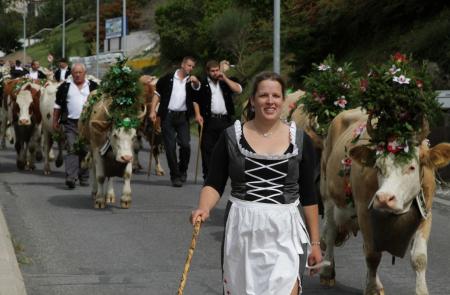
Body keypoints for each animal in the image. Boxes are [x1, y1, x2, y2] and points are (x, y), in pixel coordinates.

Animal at [78, 59, 146, 208]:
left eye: (133, 137)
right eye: (115, 135)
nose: (125, 157)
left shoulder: (128, 153)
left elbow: (126, 174)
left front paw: (125, 199)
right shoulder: (97, 150)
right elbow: (100, 176)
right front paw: (99, 200)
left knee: (110, 176)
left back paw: (109, 195)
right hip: (91, 147)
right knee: (94, 169)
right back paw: (95, 193)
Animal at [320, 53, 450, 295]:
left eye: (411, 167)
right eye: (378, 167)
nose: (384, 198)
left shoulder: (426, 211)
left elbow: (419, 258)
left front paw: (421, 291)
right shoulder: (363, 209)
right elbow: (372, 254)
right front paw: (371, 288)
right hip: (329, 195)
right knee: (331, 232)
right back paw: (327, 272)